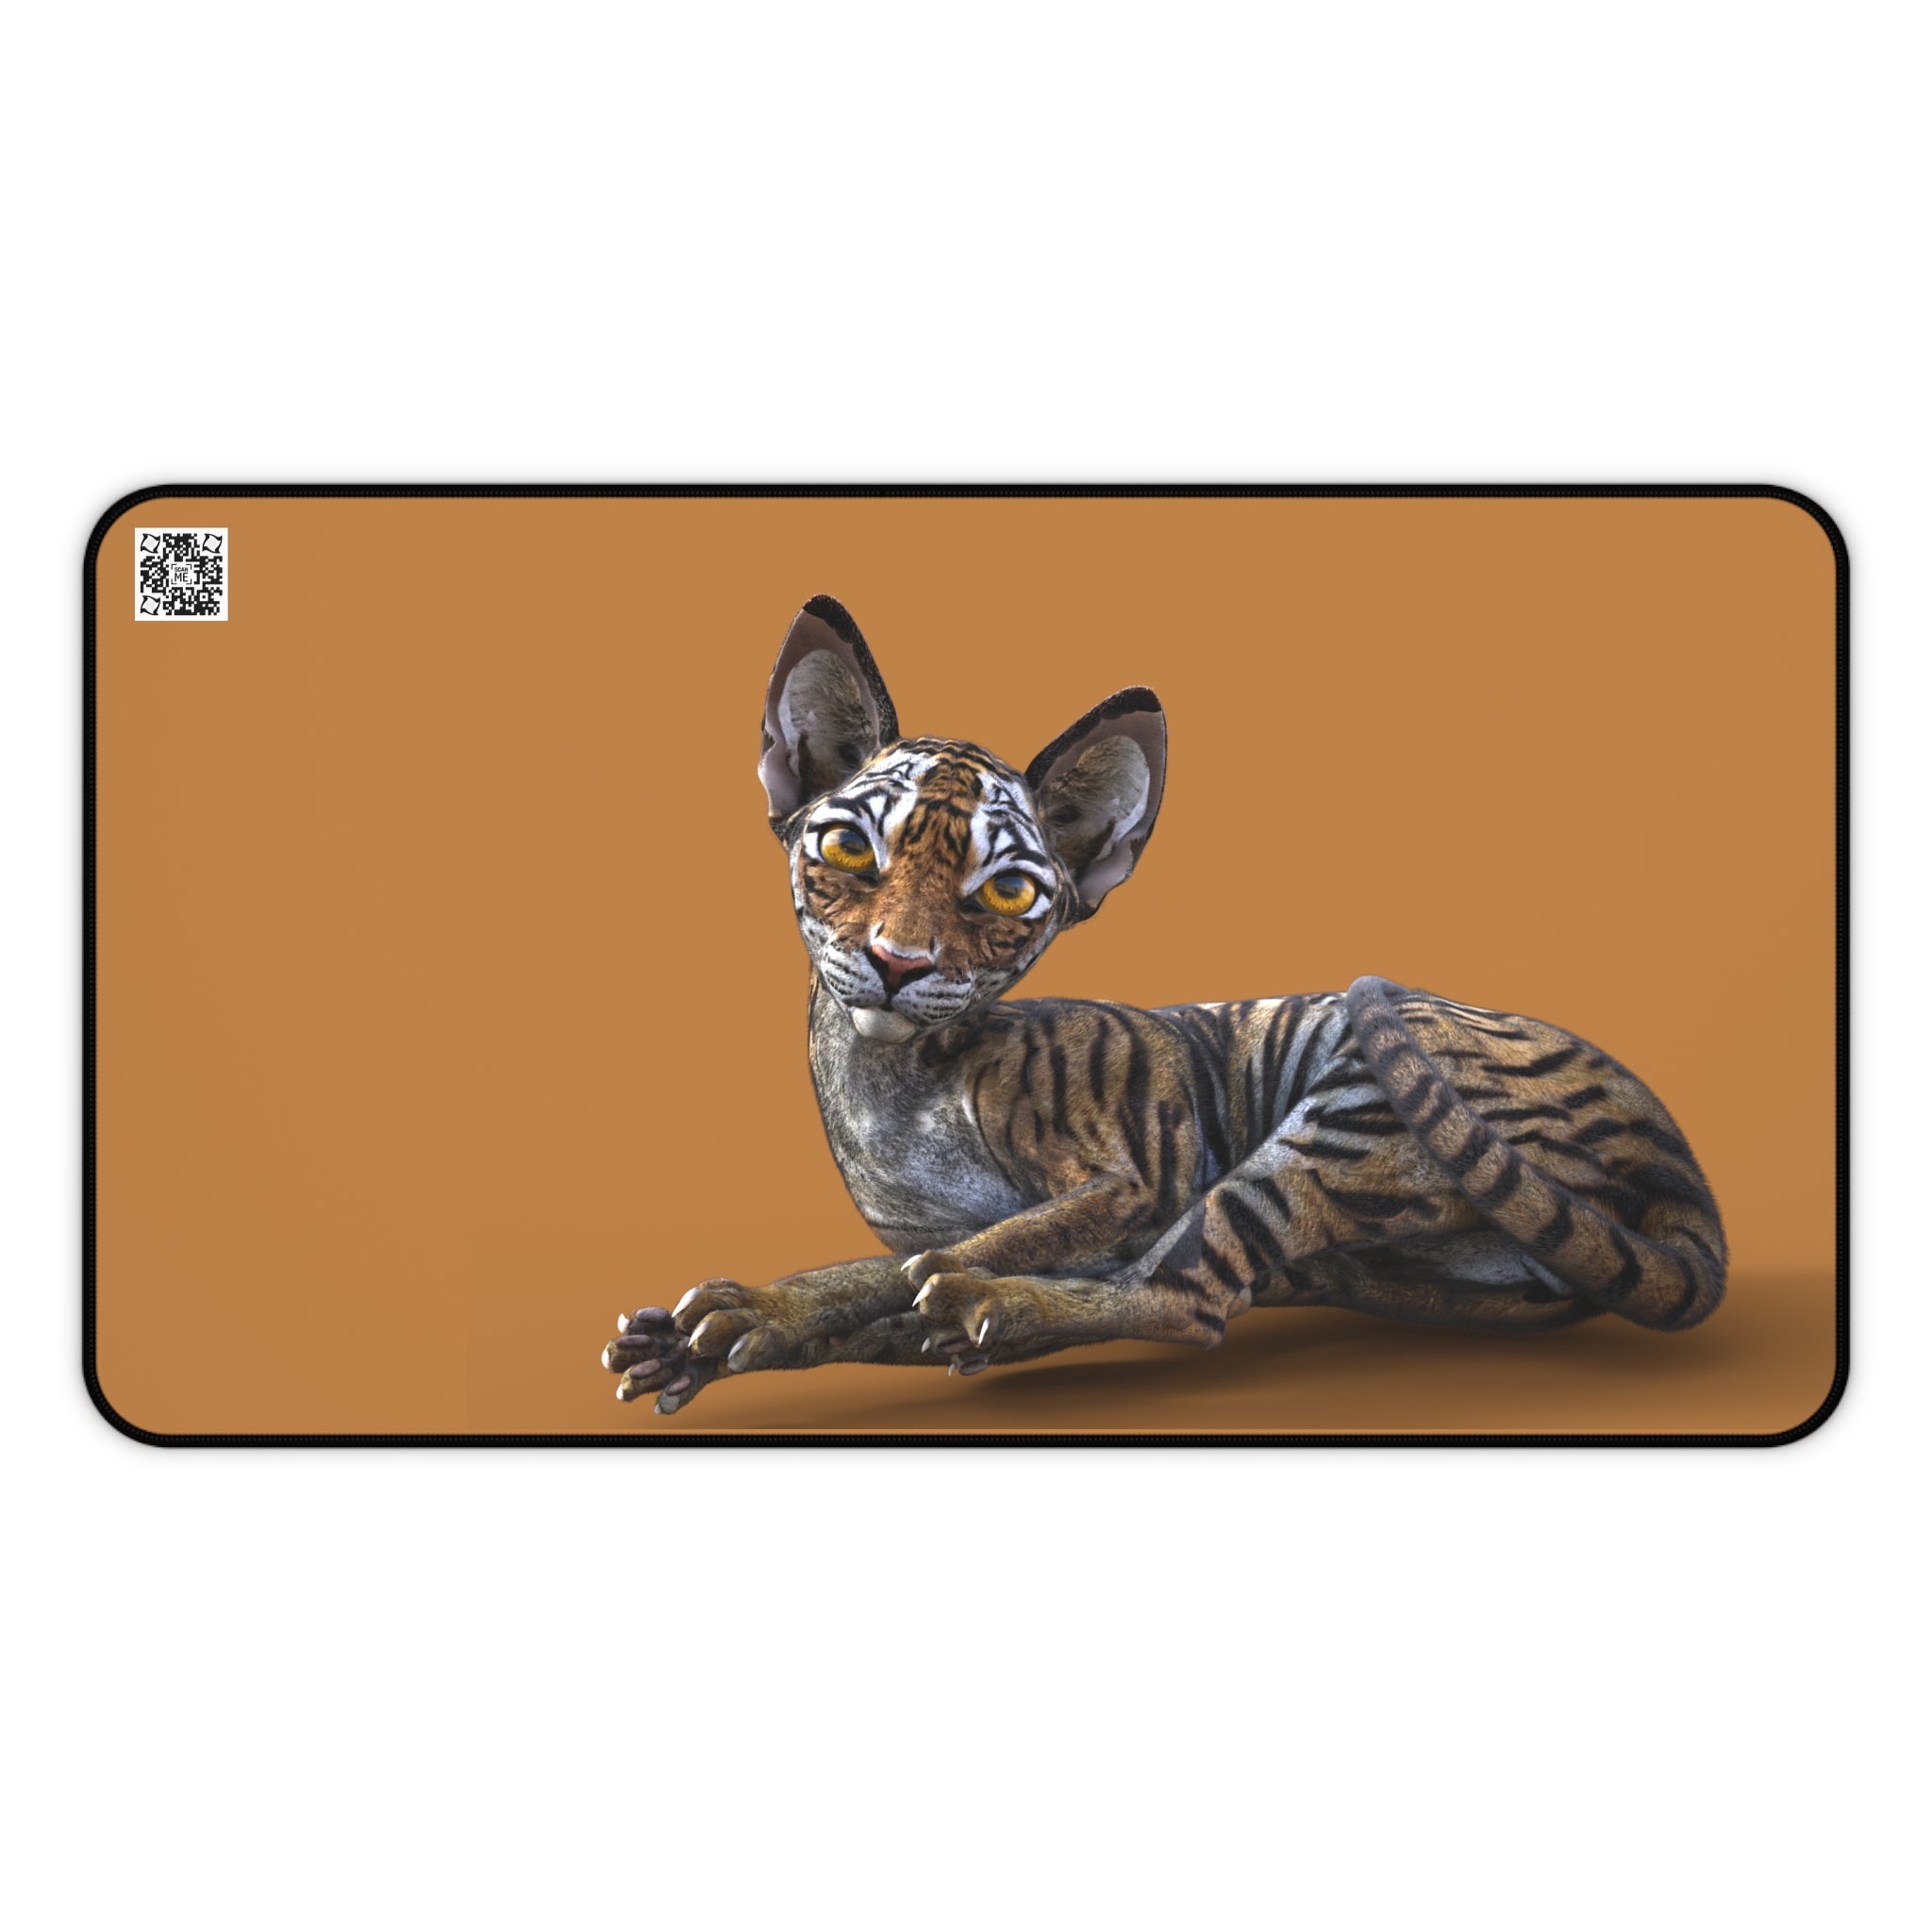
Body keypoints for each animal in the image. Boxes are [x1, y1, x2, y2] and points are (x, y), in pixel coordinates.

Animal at [602, 594, 1727, 1416]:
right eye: (846, 848)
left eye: (1002, 892)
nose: (895, 962)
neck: (890, 1082)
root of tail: (1678, 1157)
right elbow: (887, 1282)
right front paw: (727, 1330)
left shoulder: (1131, 1179)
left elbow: (945, 1255)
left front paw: (781, 1306)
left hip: (1342, 1113)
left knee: (1185, 1299)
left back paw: (990, 1309)